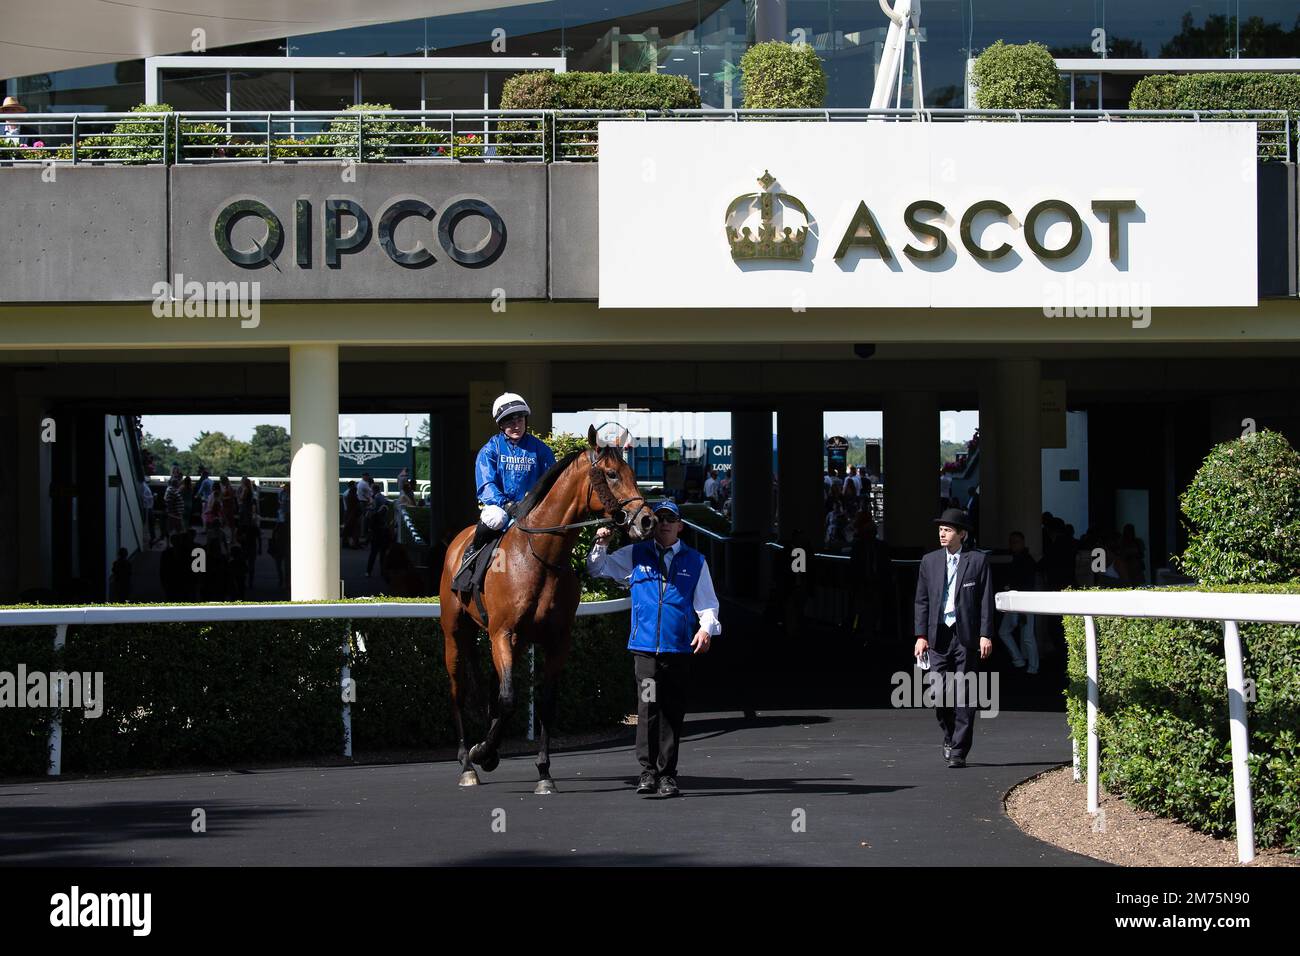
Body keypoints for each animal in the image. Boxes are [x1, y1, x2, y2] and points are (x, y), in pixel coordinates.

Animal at [439, 426, 660, 790]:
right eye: (612, 474)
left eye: (631, 472)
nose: (647, 521)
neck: (538, 556)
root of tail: (458, 542)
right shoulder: (502, 633)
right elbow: (509, 699)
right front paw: (481, 752)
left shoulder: (557, 640)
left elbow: (544, 703)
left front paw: (543, 772)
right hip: (455, 634)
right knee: (458, 691)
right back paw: (467, 764)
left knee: (490, 688)